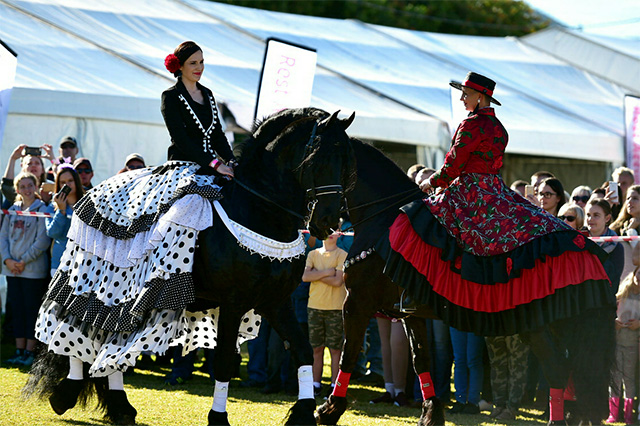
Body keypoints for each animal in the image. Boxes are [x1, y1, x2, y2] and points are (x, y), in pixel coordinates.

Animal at [25, 108, 358, 426]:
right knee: (80, 329)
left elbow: (302, 350)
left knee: (106, 342)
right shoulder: (234, 302)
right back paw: (70, 394)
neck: (260, 212)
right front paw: (219, 418)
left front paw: (304, 414)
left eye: (346, 162)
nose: (329, 221)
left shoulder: (275, 301)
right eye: (319, 156)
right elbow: (223, 361)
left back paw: (118, 407)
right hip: (96, 282)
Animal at [316, 139, 616, 426]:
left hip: (537, 325)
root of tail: (584, 244)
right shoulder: (408, 313)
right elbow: (420, 359)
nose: (320, 222)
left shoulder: (356, 301)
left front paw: (329, 410)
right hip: (562, 325)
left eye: (316, 159)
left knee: (556, 368)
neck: (382, 219)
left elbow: (348, 353)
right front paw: (431, 414)